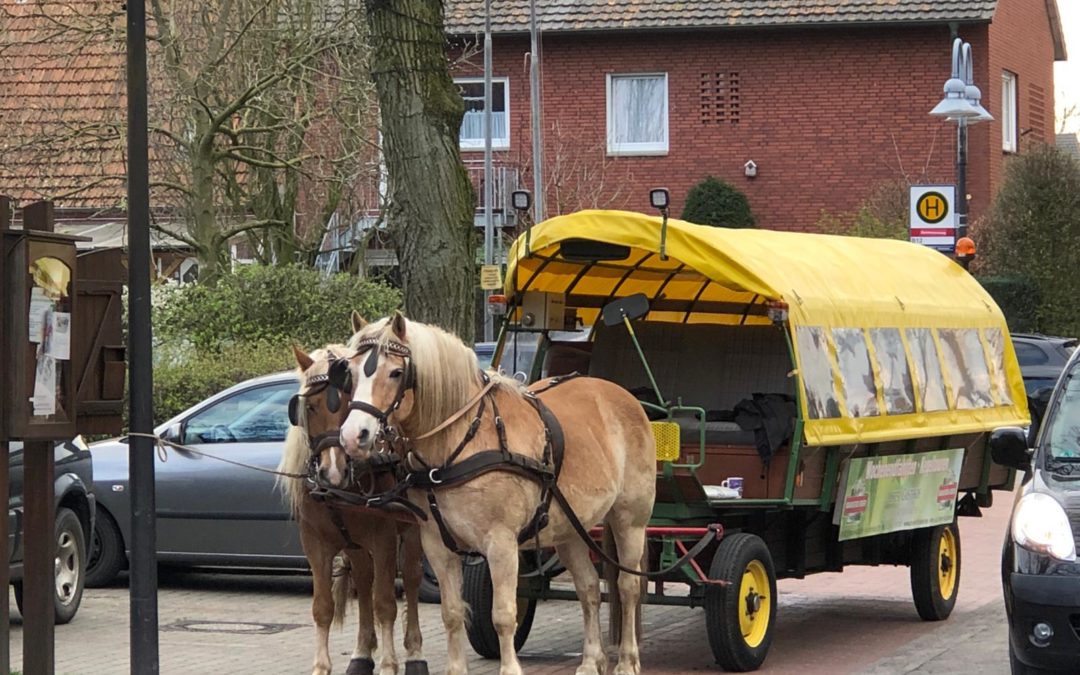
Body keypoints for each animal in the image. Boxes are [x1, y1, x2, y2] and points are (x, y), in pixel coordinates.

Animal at [278, 334, 425, 673]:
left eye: (348, 401)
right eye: (310, 407)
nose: (333, 471)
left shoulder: (384, 540)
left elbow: (385, 604)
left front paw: (389, 664)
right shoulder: (315, 544)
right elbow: (323, 607)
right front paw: (322, 666)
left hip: (412, 532)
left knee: (411, 579)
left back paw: (414, 653)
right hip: (355, 545)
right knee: (363, 578)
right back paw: (361, 653)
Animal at [336, 315, 656, 673]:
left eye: (394, 372)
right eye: (350, 373)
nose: (354, 436)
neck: (462, 440)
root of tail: (622, 395)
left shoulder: (501, 543)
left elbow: (503, 614)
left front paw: (510, 667)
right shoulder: (437, 544)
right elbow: (452, 613)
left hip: (630, 520)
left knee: (627, 587)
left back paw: (627, 660)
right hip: (570, 527)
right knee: (588, 588)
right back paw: (590, 661)